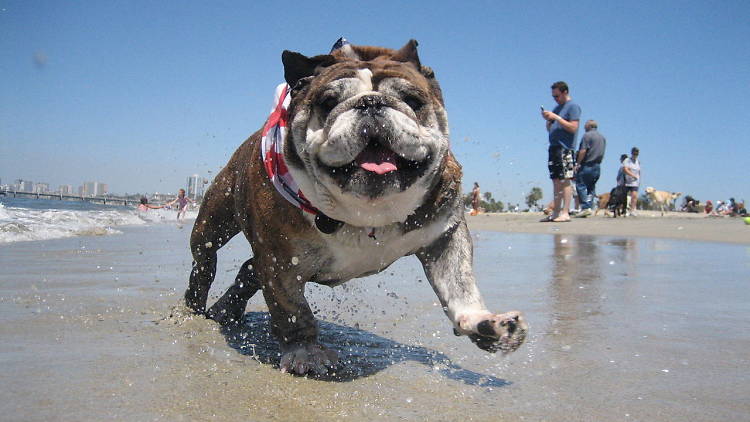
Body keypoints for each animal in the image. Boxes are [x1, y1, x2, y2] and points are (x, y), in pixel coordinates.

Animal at [186, 39, 528, 376]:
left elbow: (459, 285)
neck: (368, 211)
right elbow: (292, 310)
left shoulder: (444, 236)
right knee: (205, 263)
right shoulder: (278, 259)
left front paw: (483, 323)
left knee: (248, 271)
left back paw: (227, 309)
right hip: (213, 222)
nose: (371, 103)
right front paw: (305, 351)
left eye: (412, 100)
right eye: (327, 102)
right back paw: (194, 307)